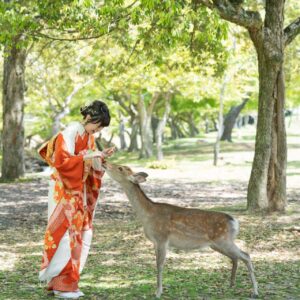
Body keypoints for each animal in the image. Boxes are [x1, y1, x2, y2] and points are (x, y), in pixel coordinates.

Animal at [102, 162, 258, 298]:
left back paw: (255, 292)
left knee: (246, 255)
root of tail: (234, 222)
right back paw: (231, 284)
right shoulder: (155, 242)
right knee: (236, 257)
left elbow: (159, 265)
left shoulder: (162, 238)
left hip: (224, 240)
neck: (148, 215)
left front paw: (158, 293)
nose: (104, 162)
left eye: (120, 168)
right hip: (217, 244)